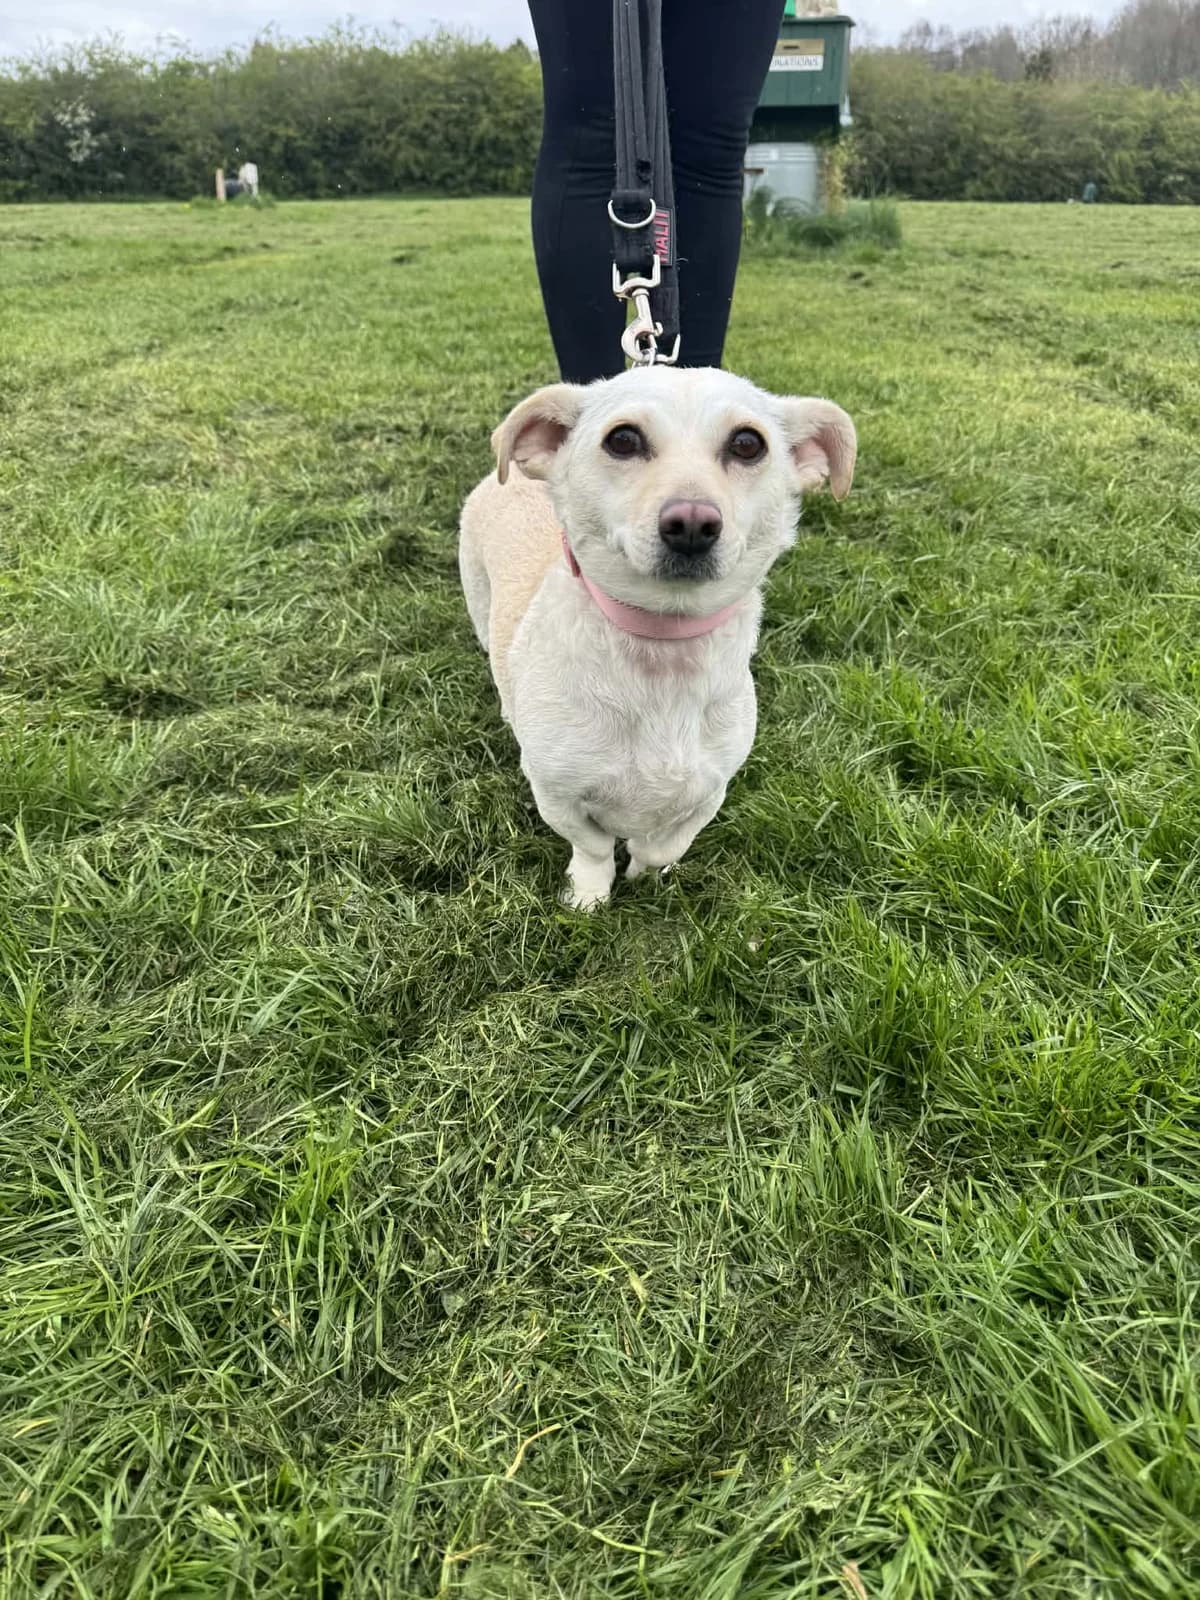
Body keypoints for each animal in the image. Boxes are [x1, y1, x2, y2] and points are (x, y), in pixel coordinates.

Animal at [458, 366, 855, 908]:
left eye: (748, 444)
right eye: (623, 439)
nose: (692, 522)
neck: (663, 647)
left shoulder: (711, 789)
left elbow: (665, 842)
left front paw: (646, 874)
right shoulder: (555, 793)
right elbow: (594, 846)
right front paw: (589, 894)